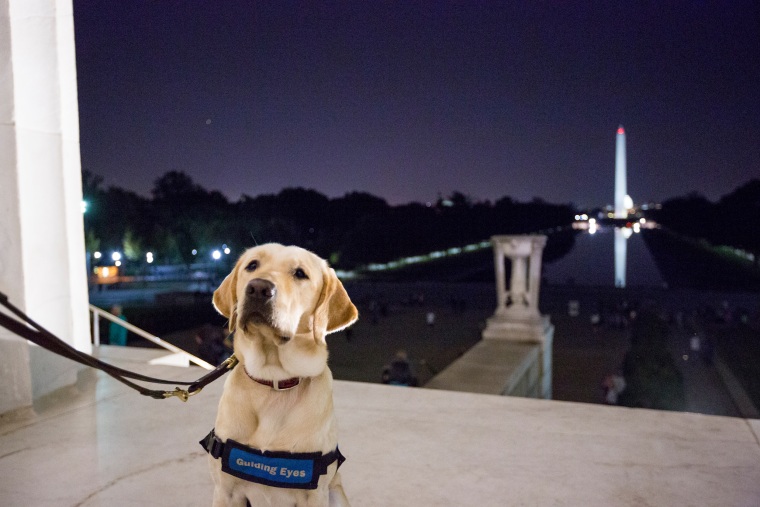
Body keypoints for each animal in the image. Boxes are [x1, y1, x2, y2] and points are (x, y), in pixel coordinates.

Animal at [200, 244, 358, 506]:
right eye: (252, 265)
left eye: (300, 273)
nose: (258, 288)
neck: (274, 381)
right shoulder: (225, 492)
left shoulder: (315, 496)